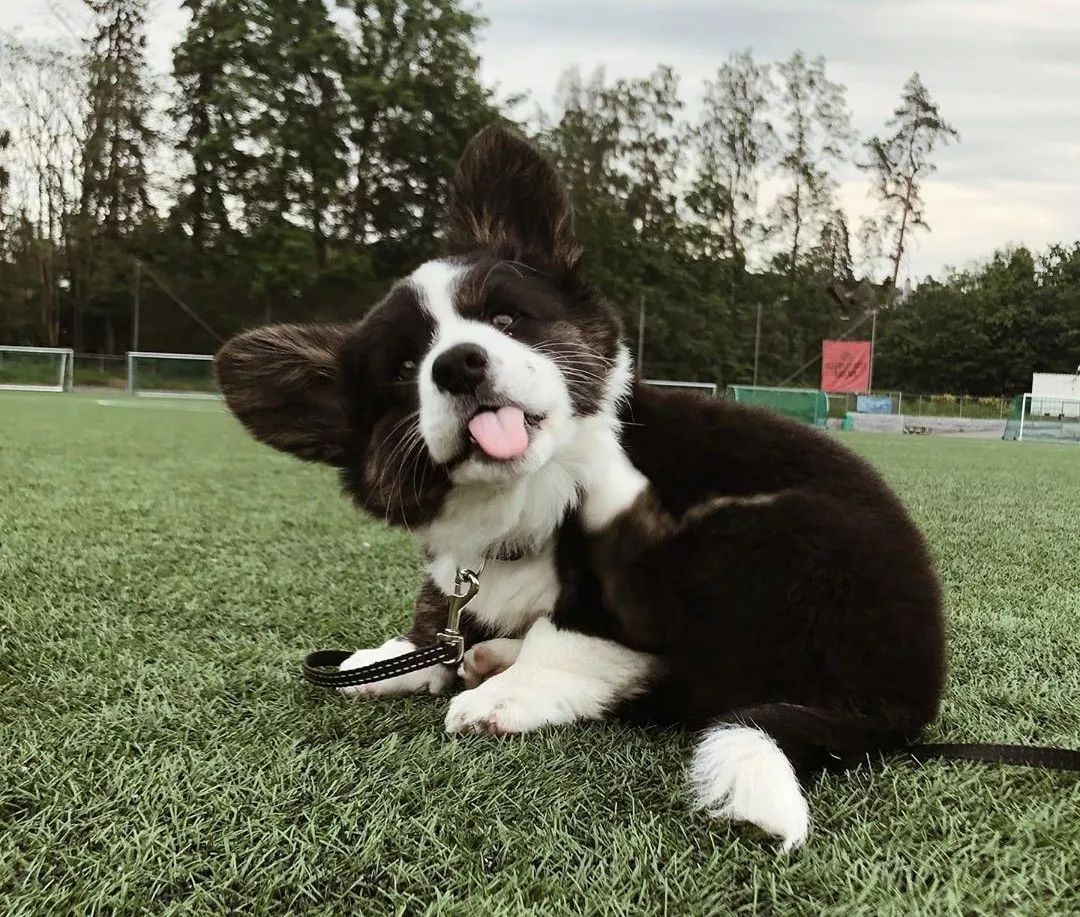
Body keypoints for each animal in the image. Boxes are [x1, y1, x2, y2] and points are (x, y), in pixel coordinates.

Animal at [219, 125, 946, 846]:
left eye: (506, 321)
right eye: (402, 369)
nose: (458, 365)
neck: (522, 497)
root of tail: (896, 702)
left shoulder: (607, 600)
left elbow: (567, 637)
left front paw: (501, 696)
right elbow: (440, 625)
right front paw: (391, 658)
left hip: (771, 529)